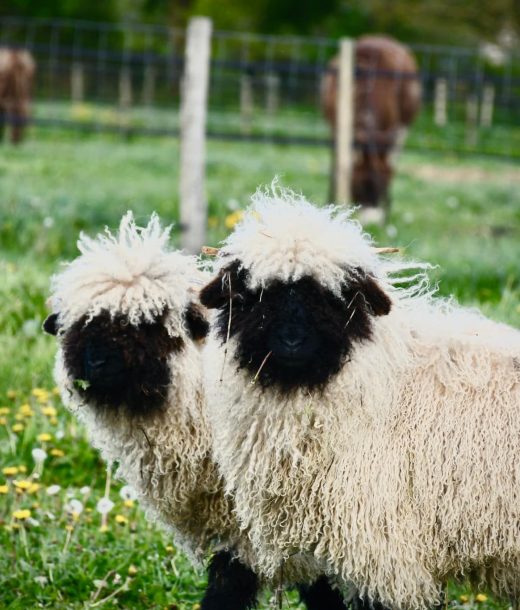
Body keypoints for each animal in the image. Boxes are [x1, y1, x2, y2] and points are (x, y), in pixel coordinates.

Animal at [320, 34, 422, 217]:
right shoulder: (335, 127)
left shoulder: (396, 130)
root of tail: (381, 37)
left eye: (384, 185)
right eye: (358, 185)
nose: (371, 214)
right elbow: (337, 164)